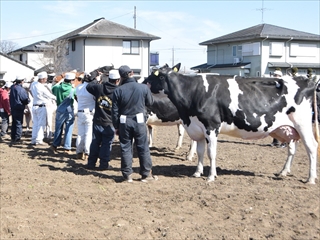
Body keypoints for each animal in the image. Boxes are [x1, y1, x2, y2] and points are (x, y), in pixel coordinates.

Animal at [146, 62, 318, 183]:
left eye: (154, 75)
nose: (144, 81)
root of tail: (307, 81)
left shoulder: (212, 126)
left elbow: (211, 152)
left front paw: (211, 176)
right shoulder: (197, 128)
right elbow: (201, 152)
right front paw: (197, 172)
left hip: (303, 124)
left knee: (311, 147)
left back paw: (310, 178)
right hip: (288, 129)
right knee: (292, 148)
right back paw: (283, 172)